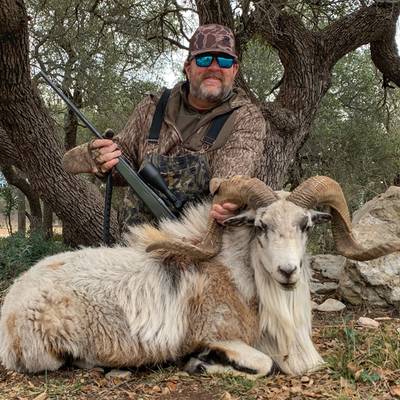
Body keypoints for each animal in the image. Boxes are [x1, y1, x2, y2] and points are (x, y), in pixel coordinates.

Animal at [1, 176, 399, 377]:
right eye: (260, 225)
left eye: (306, 225)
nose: (288, 271)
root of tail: (13, 302)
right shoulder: (221, 336)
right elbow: (264, 365)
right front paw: (201, 362)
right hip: (49, 355)